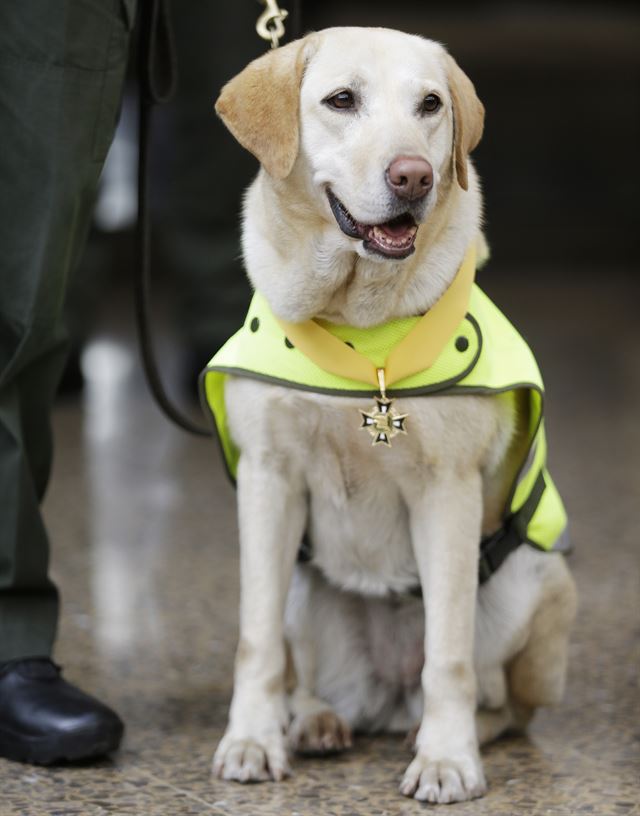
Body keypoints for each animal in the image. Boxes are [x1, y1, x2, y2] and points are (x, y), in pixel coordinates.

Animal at [210, 27, 576, 804]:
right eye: (341, 100)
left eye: (430, 105)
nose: (414, 176)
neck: (359, 330)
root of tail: (384, 696)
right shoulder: (267, 479)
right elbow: (256, 640)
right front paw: (251, 740)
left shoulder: (447, 492)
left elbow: (450, 656)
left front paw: (447, 758)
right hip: (301, 583)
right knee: (304, 672)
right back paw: (312, 720)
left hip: (537, 581)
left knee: (504, 701)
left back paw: (437, 732)